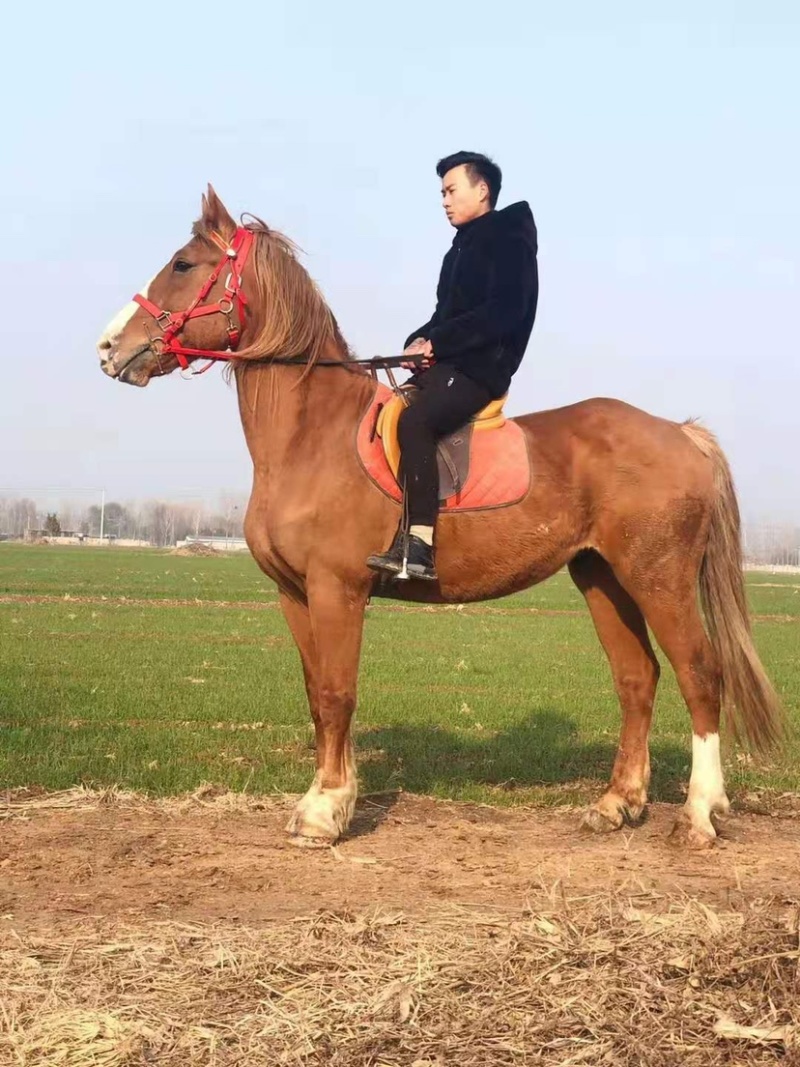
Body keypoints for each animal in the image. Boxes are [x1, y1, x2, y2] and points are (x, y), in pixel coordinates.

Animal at [97, 185, 783, 851]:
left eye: (183, 265)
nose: (108, 348)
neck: (312, 435)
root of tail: (681, 433)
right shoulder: (294, 594)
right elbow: (317, 695)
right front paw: (331, 798)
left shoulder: (336, 589)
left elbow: (337, 692)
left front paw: (324, 811)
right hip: (602, 578)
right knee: (637, 678)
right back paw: (616, 805)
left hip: (659, 578)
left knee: (700, 674)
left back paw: (699, 815)